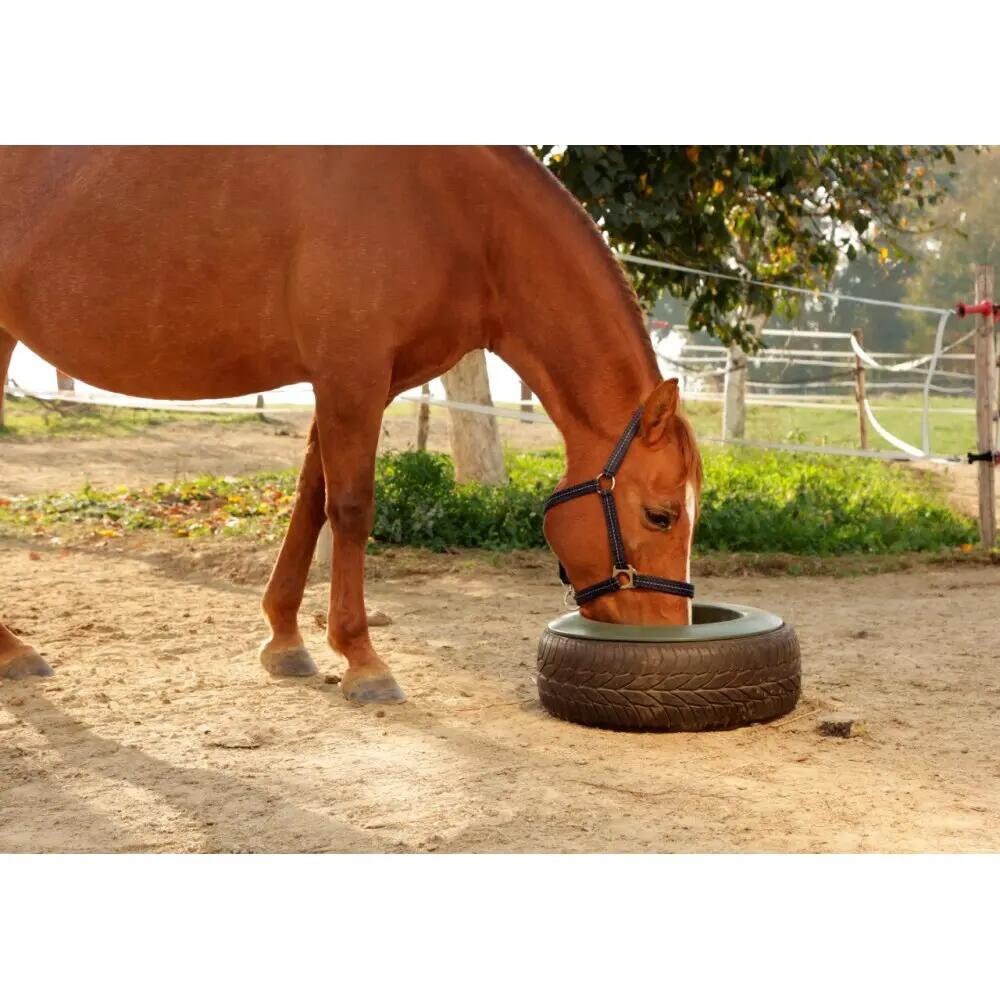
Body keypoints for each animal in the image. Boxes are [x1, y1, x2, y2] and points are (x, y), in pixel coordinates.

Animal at [0, 146, 702, 703]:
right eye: (660, 515)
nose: (666, 636)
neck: (454, 209)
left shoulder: (354, 383)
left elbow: (311, 500)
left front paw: (285, 641)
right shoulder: (351, 374)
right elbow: (352, 509)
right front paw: (363, 661)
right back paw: (13, 649)